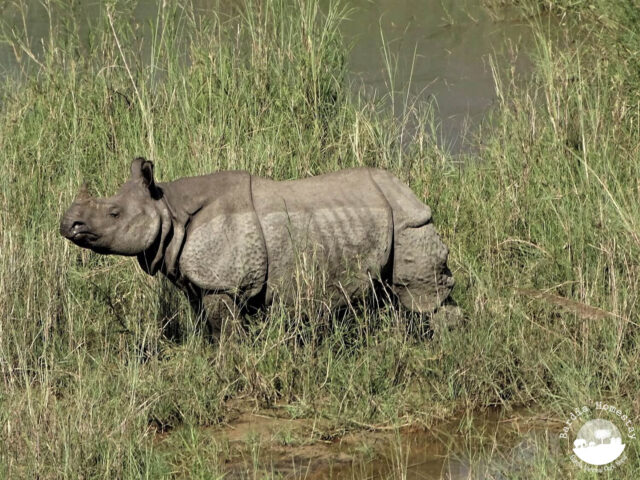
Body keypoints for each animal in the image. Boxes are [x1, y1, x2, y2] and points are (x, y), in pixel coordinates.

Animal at [60, 158, 454, 338]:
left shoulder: (223, 285)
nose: (67, 224)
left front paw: (226, 368)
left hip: (409, 220)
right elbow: (204, 324)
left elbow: (224, 331)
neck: (168, 209)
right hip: (387, 218)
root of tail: (408, 191)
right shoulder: (199, 282)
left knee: (420, 297)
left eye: (113, 214)